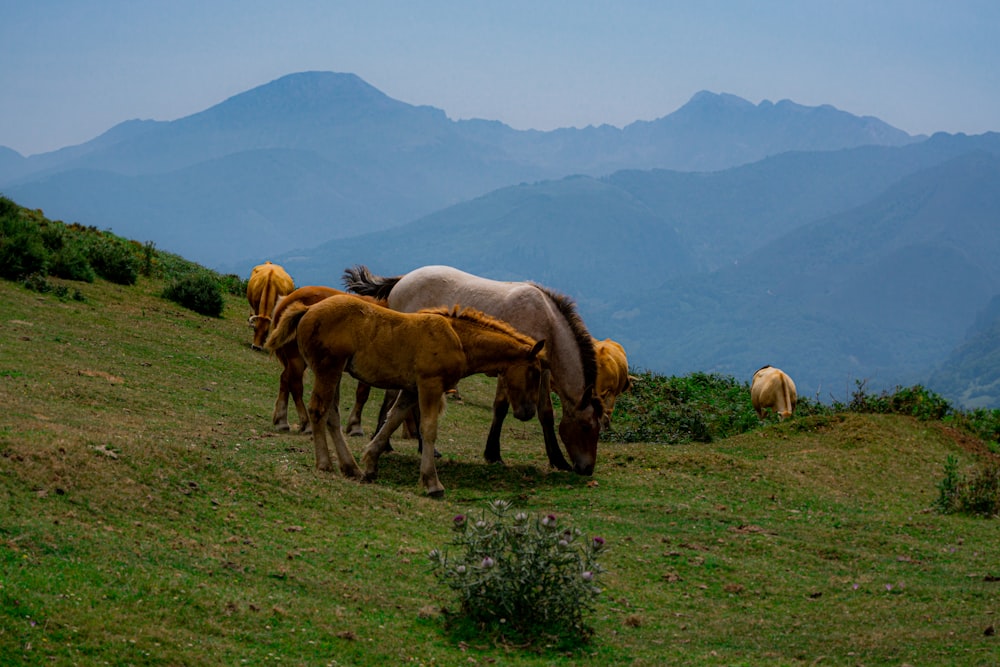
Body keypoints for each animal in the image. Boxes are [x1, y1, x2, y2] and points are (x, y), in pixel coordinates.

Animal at [264, 296, 548, 496]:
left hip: (335, 372)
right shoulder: (429, 385)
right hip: (328, 369)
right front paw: (432, 483)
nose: (527, 412)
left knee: (332, 415)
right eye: (534, 372)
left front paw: (370, 464)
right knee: (318, 411)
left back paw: (351, 467)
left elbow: (392, 421)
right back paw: (324, 463)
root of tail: (307, 310)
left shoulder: (411, 390)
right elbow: (429, 429)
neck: (458, 339)